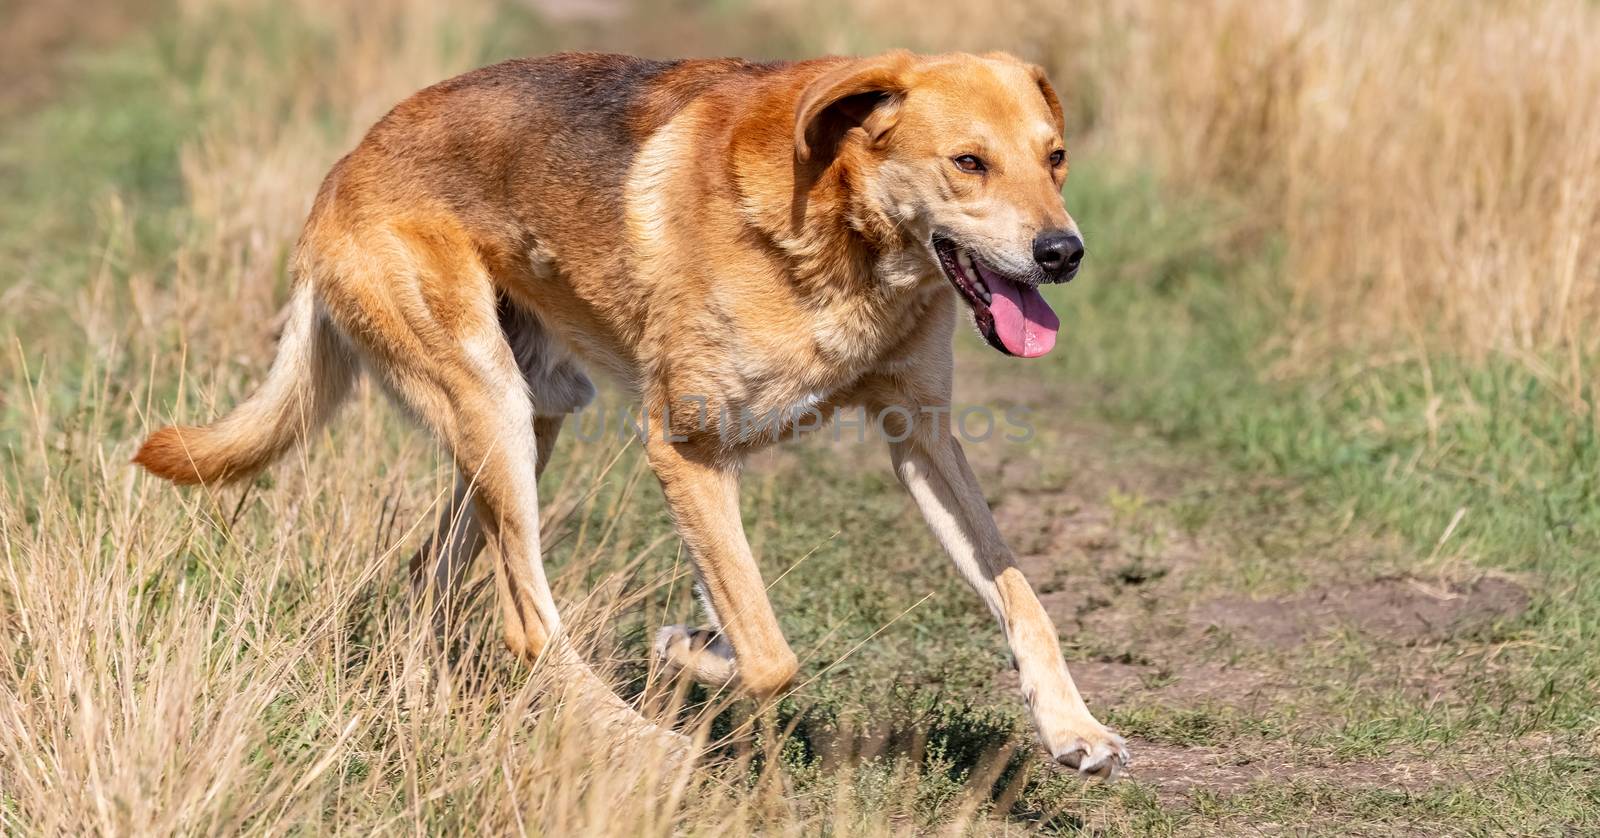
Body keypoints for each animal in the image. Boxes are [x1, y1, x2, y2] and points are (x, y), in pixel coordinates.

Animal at [137, 49, 1132, 777]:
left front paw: (1073, 729)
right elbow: (769, 653)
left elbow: (1019, 594)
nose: (1064, 252)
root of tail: (338, 176)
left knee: (429, 582)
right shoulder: (686, 447)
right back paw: (640, 741)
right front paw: (691, 652)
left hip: (525, 422)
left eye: (1055, 157)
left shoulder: (921, 439)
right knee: (529, 622)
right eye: (968, 163)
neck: (840, 236)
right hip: (491, 405)